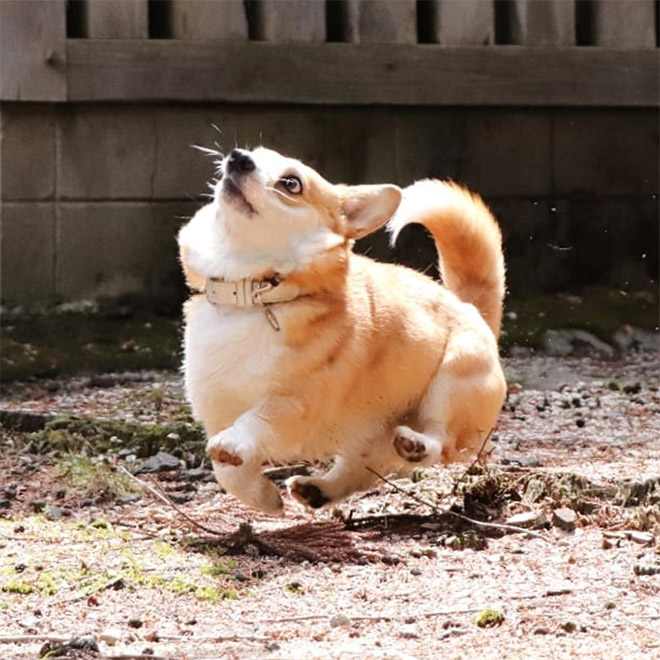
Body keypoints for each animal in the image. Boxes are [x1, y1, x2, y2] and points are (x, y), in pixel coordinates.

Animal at [177, 147, 506, 512]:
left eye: (291, 183)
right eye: (254, 154)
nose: (238, 157)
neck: (253, 297)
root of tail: (472, 308)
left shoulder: (295, 402)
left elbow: (257, 419)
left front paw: (236, 443)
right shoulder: (216, 416)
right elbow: (227, 472)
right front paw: (263, 498)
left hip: (451, 384)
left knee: (441, 441)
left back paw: (417, 444)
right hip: (370, 437)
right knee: (364, 468)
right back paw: (319, 489)